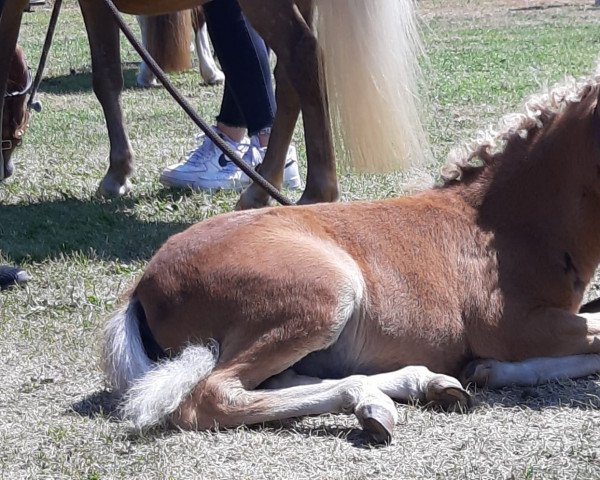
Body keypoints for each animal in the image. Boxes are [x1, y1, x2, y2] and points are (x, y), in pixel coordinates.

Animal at [102, 66, 600, 442]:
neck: (504, 224)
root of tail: (144, 285)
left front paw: (485, 371)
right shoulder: (514, 327)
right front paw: (489, 368)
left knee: (273, 380)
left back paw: (416, 387)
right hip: (326, 293)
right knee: (211, 396)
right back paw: (379, 401)